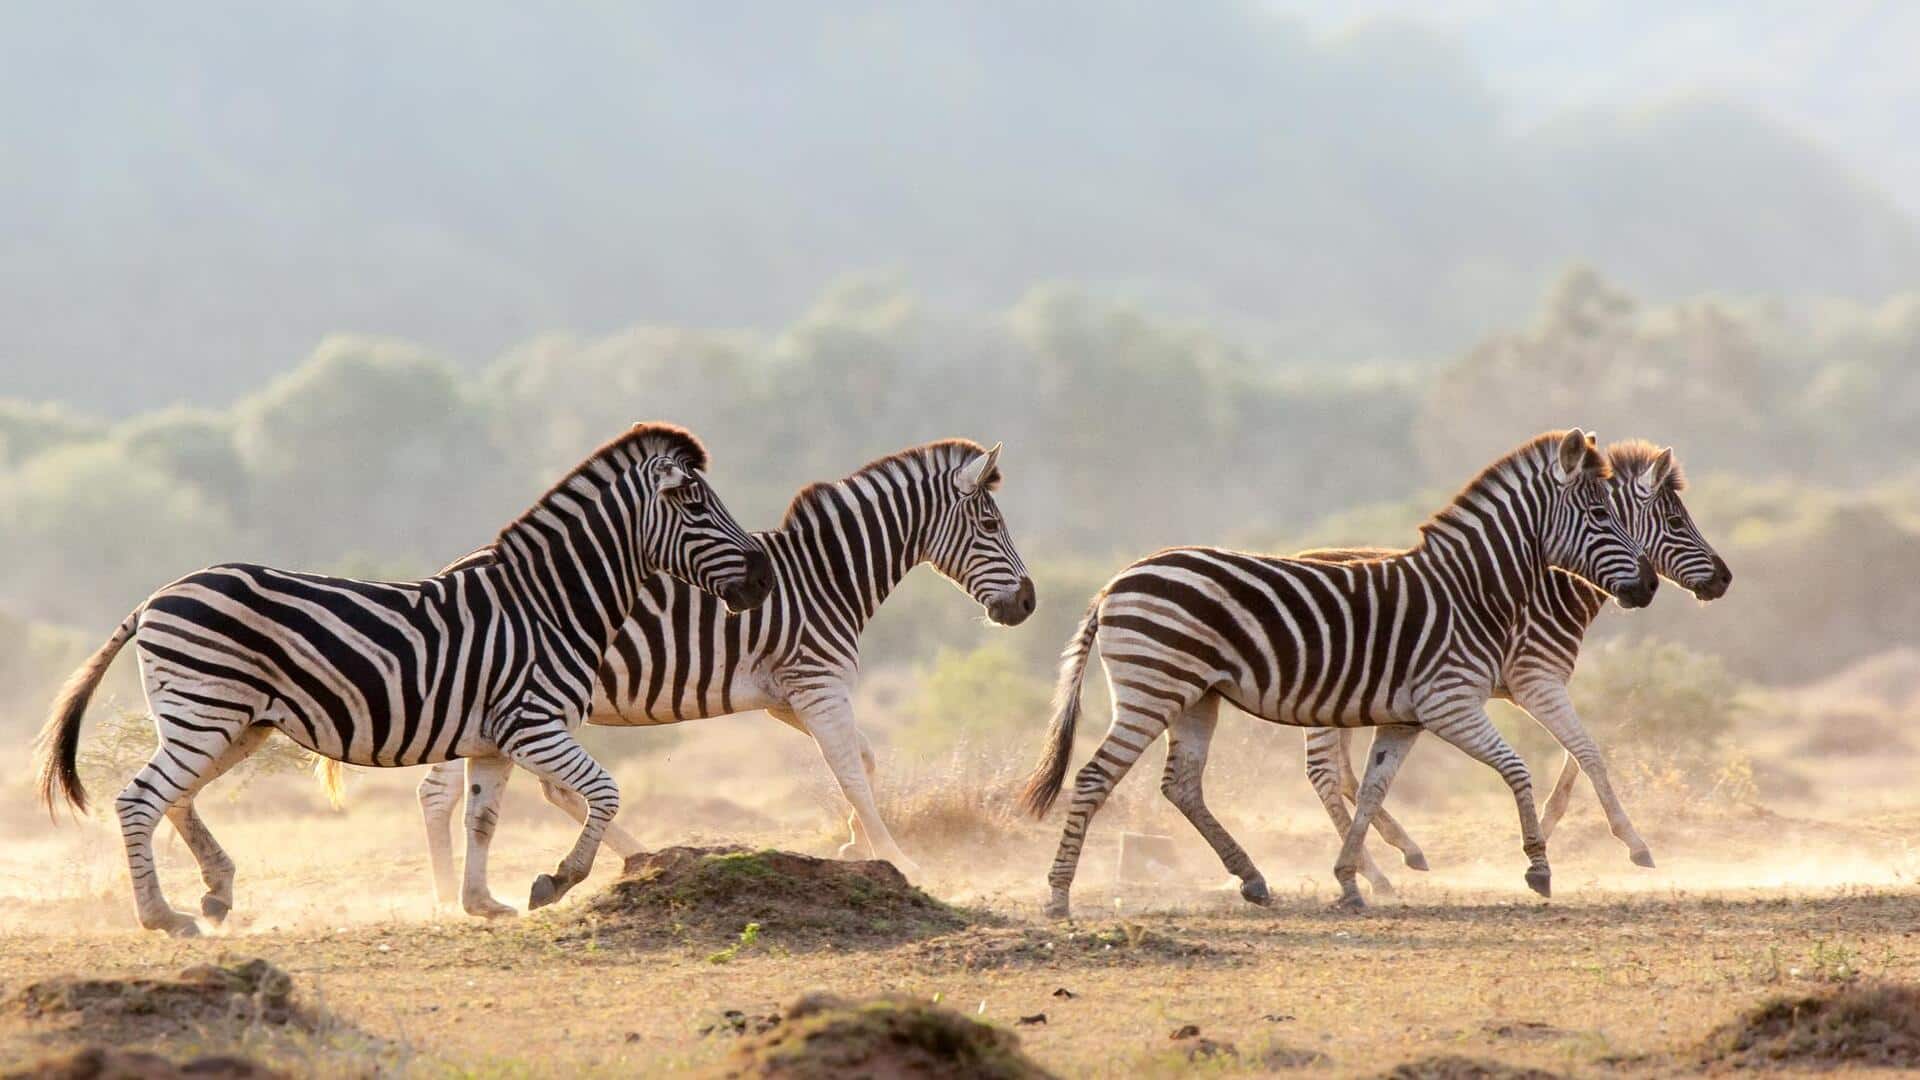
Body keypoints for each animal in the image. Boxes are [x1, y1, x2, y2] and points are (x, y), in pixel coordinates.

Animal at [34, 423, 773, 936]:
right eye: (695, 505)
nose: (763, 579)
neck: (550, 604)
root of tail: (155, 596)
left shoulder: (495, 741)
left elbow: (482, 818)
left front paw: (482, 902)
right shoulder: (534, 724)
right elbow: (606, 791)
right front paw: (557, 882)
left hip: (230, 724)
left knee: (176, 799)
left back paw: (215, 890)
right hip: (206, 713)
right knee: (140, 800)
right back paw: (164, 916)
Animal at [408, 438, 1033, 900]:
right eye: (989, 525)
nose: (1028, 604)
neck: (826, 575)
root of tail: (454, 568)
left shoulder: (787, 697)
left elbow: (865, 759)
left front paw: (857, 845)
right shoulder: (818, 682)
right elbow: (850, 772)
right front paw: (900, 858)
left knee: (504, 791)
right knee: (452, 793)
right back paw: (451, 897)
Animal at [1018, 429, 1658, 918]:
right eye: (1600, 514)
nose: (1650, 586)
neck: (1471, 591)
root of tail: (1113, 584)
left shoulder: (1406, 719)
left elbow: (1373, 789)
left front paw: (1350, 879)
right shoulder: (1450, 703)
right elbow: (1518, 769)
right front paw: (1538, 866)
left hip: (1196, 696)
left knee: (1182, 785)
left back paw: (1252, 879)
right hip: (1154, 688)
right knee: (1095, 777)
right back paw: (1058, 894)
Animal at [1294, 440, 1730, 895]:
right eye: (1676, 522)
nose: (1724, 579)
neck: (1550, 589)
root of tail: (1302, 553)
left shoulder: (1537, 685)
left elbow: (1578, 752)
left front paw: (1547, 827)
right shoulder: (1534, 679)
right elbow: (1586, 752)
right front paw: (1630, 843)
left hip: (1348, 700)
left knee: (1345, 776)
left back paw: (1396, 856)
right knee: (1324, 775)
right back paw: (1374, 871)